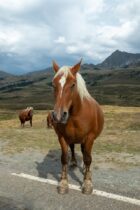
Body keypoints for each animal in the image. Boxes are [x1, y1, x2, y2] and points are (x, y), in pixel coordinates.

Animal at [51, 60, 104, 194]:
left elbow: (88, 158)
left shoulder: (90, 138)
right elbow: (64, 158)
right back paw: (74, 162)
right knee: (73, 148)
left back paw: (85, 168)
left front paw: (87, 182)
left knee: (85, 153)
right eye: (53, 85)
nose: (58, 115)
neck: (76, 114)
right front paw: (63, 182)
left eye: (73, 85)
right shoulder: (62, 137)